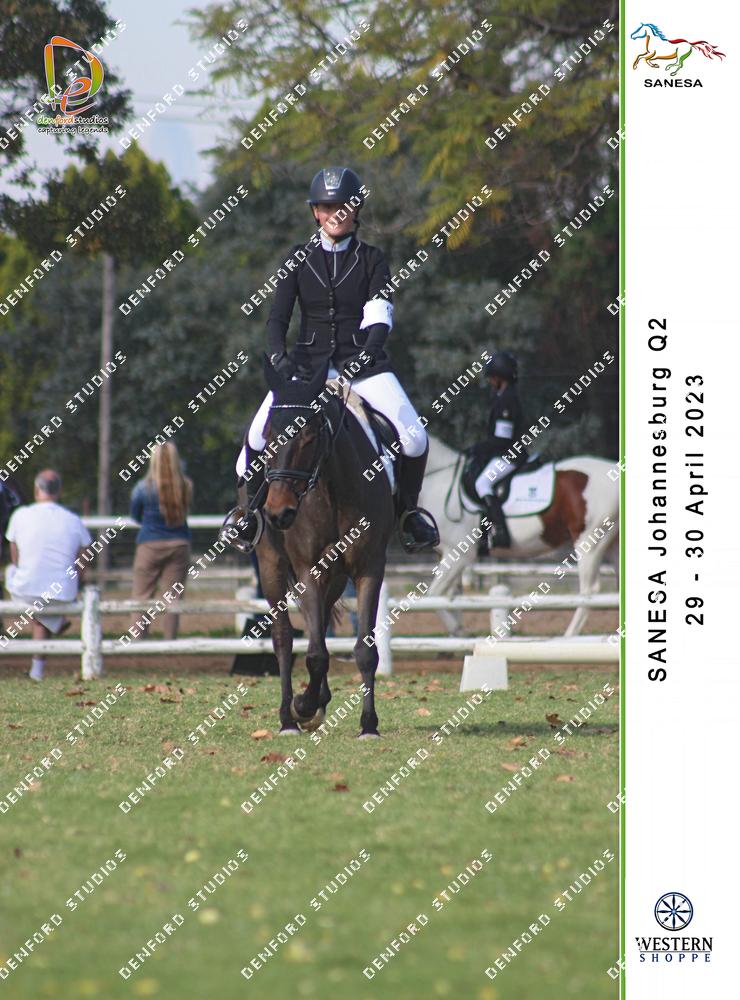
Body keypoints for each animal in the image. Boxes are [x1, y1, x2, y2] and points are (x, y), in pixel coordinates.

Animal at [253, 357, 395, 737]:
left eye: (310, 435)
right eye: (268, 436)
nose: (278, 512)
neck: (333, 489)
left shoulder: (368, 568)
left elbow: (365, 650)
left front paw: (369, 725)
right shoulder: (308, 569)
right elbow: (315, 653)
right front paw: (303, 706)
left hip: (334, 577)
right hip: (272, 565)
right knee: (284, 637)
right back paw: (289, 718)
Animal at [419, 435, 619, 637]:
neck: (438, 482)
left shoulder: (459, 555)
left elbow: (434, 595)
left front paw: (459, 631)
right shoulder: (446, 555)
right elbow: (451, 598)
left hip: (589, 542)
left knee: (588, 592)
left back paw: (569, 637)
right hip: (612, 545)